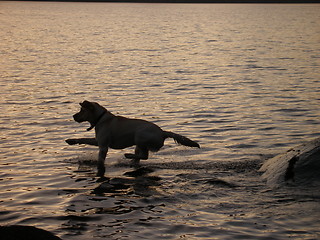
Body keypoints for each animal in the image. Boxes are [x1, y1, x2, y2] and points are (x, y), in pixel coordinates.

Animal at [65, 100, 200, 177]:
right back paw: (131, 160)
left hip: (139, 137)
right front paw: (70, 141)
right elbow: (82, 138)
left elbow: (100, 160)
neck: (101, 119)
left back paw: (127, 156)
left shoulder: (103, 146)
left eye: (82, 110)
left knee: (145, 156)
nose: (73, 116)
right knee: (140, 158)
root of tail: (162, 132)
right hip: (138, 145)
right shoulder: (97, 141)